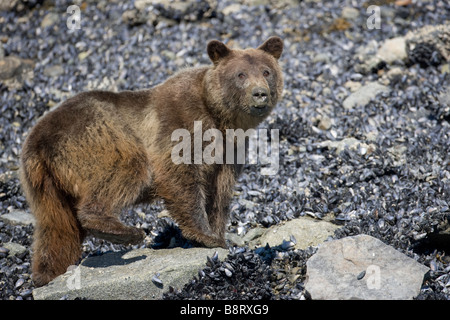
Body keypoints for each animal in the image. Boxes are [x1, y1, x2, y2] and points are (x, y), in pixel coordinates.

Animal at [20, 36, 284, 286]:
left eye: (266, 72)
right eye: (240, 74)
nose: (259, 93)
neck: (220, 118)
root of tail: (38, 140)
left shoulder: (230, 150)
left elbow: (219, 193)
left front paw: (219, 235)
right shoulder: (180, 123)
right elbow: (180, 175)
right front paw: (205, 236)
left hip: (45, 186)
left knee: (57, 228)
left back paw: (46, 274)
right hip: (97, 136)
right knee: (125, 169)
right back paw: (123, 231)